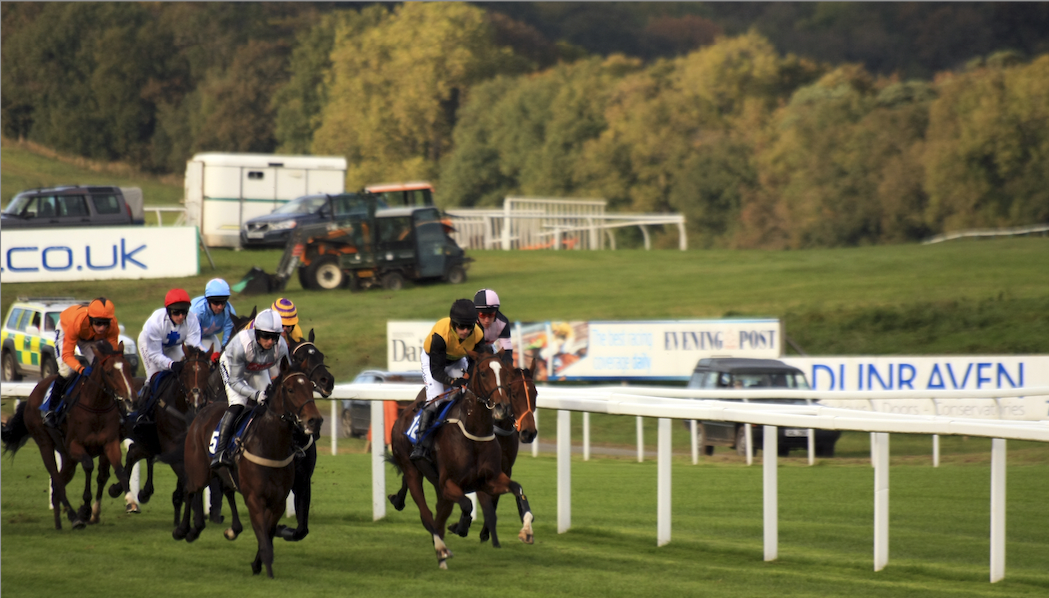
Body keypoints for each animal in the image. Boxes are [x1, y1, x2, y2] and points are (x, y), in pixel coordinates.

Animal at [1, 337, 138, 528]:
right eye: (109, 373)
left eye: (127, 368)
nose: (132, 400)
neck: (95, 406)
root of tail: (33, 393)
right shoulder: (75, 445)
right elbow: (88, 466)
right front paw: (85, 510)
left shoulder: (110, 443)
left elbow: (119, 470)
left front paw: (131, 501)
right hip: (45, 444)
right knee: (57, 481)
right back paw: (74, 517)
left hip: (67, 457)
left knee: (58, 485)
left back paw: (59, 522)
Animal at [175, 356, 318, 574]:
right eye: (291, 389)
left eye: (311, 387)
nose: (315, 420)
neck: (271, 445)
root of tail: (203, 411)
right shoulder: (254, 498)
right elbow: (263, 532)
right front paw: (266, 564)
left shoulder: (286, 494)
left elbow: (273, 531)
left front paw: (260, 560)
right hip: (198, 469)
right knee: (191, 490)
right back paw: (185, 530)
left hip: (223, 473)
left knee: (225, 490)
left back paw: (226, 529)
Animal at [388, 348, 537, 566]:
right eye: (514, 393)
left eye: (535, 393)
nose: (529, 433)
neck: (475, 430)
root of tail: (405, 413)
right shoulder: (449, 483)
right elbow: (469, 504)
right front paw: (462, 527)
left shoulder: (492, 478)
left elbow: (516, 491)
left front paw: (525, 530)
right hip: (413, 470)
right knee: (427, 514)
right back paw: (441, 549)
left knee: (439, 516)